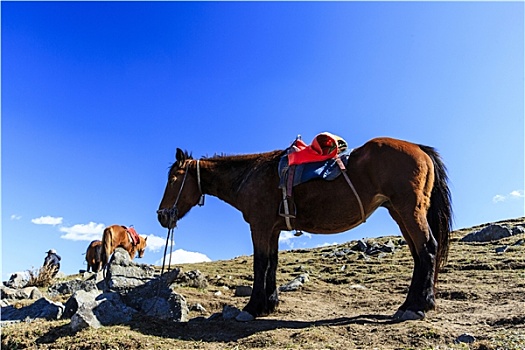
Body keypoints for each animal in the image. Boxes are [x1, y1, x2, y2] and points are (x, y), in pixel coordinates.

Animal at [156, 137, 450, 322]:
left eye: (173, 179)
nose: (162, 216)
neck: (250, 175)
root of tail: (420, 149)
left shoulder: (260, 226)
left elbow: (260, 264)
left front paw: (252, 308)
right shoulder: (273, 229)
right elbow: (272, 263)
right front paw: (269, 304)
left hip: (409, 211)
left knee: (428, 249)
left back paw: (419, 306)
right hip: (399, 213)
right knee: (419, 255)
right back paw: (411, 304)